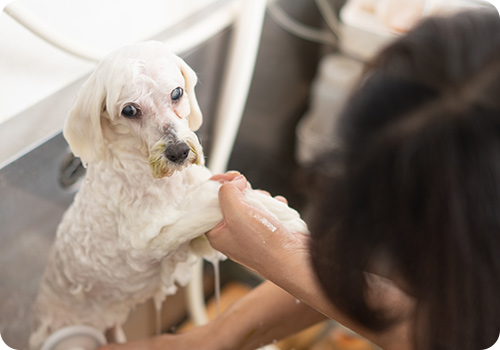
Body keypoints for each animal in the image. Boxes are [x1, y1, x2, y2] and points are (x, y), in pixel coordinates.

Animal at [30, 41, 308, 350]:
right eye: (129, 110)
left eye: (176, 93)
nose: (178, 152)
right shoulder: (149, 240)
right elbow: (213, 197)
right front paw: (281, 216)